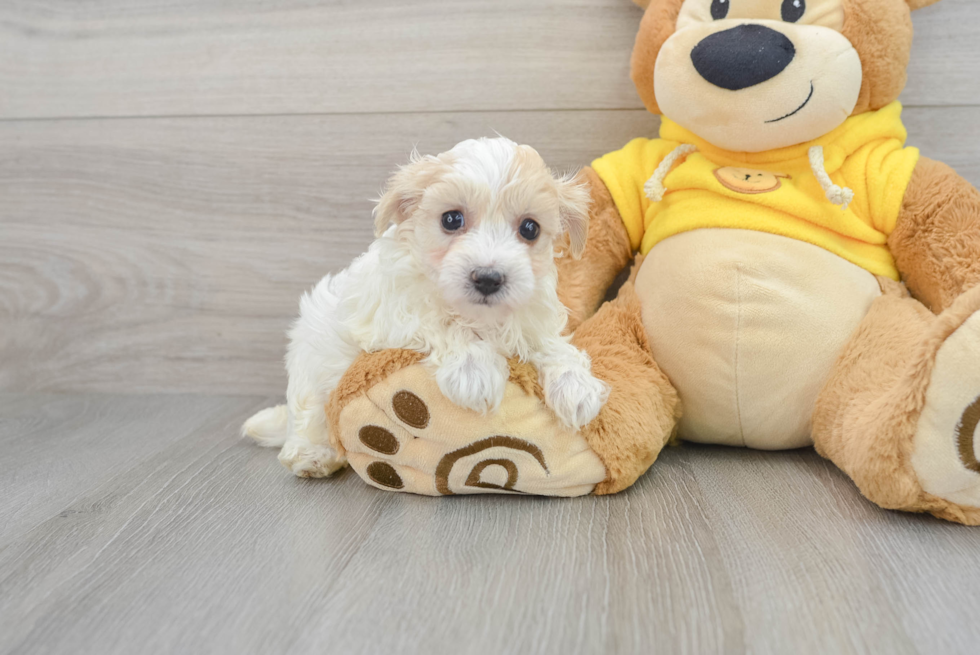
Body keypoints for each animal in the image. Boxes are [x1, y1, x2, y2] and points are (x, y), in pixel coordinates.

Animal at [241, 137, 608, 476]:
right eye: (451, 219)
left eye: (530, 228)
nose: (488, 278)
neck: (481, 317)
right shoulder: (394, 318)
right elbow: (443, 322)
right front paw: (473, 370)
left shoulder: (532, 317)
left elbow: (551, 345)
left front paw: (577, 387)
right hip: (313, 362)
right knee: (309, 414)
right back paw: (313, 455)